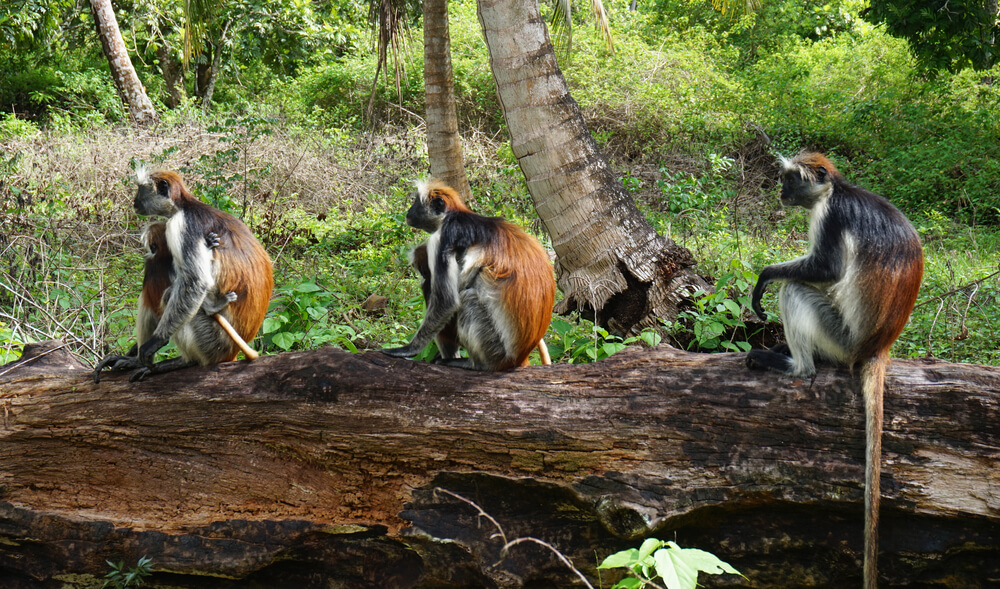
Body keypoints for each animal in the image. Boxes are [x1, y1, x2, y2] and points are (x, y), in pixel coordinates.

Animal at [94, 168, 274, 384]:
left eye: (140, 190)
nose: (134, 201)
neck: (186, 206)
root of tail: (233, 352)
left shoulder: (181, 226)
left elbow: (196, 281)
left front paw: (154, 343)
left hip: (212, 342)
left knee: (169, 291)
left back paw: (184, 361)